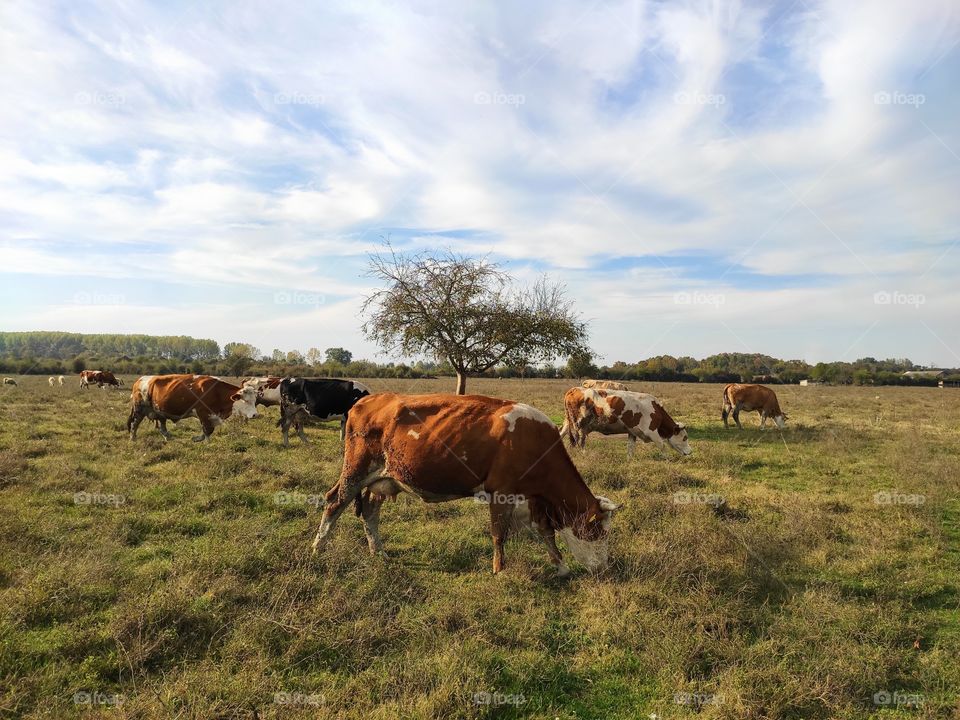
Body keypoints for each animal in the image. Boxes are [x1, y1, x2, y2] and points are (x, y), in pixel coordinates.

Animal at [127, 374, 259, 441]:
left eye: (254, 400)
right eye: (245, 400)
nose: (255, 415)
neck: (216, 392)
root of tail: (140, 380)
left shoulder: (212, 416)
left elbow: (208, 430)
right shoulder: (203, 413)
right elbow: (207, 430)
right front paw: (204, 441)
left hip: (159, 411)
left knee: (162, 427)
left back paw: (168, 438)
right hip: (139, 409)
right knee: (134, 424)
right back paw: (133, 439)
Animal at [311, 392, 623, 576]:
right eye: (596, 531)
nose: (604, 568)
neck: (534, 441)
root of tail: (368, 399)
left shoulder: (532, 499)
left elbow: (546, 532)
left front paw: (561, 567)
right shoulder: (501, 492)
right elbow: (499, 534)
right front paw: (499, 569)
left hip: (383, 479)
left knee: (370, 513)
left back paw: (379, 552)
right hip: (356, 469)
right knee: (334, 502)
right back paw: (318, 548)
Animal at [560, 387, 691, 457]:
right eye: (684, 437)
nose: (691, 451)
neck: (656, 410)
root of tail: (574, 389)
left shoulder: (632, 432)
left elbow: (630, 448)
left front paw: (630, 461)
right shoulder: (652, 432)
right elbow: (662, 446)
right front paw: (667, 460)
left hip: (568, 422)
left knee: (562, 433)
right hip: (579, 425)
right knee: (580, 441)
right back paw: (583, 454)